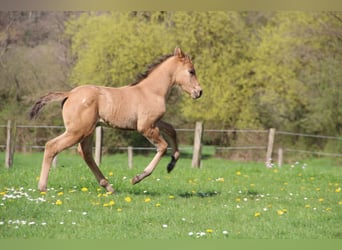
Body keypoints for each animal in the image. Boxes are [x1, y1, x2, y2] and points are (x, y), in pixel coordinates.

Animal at [29, 47, 202, 193]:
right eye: (191, 71)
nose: (199, 92)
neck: (151, 91)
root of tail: (69, 94)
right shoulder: (145, 127)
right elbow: (163, 146)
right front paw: (137, 178)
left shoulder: (155, 122)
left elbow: (172, 131)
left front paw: (171, 165)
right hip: (78, 131)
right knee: (52, 146)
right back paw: (42, 187)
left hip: (88, 130)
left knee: (85, 153)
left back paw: (108, 186)